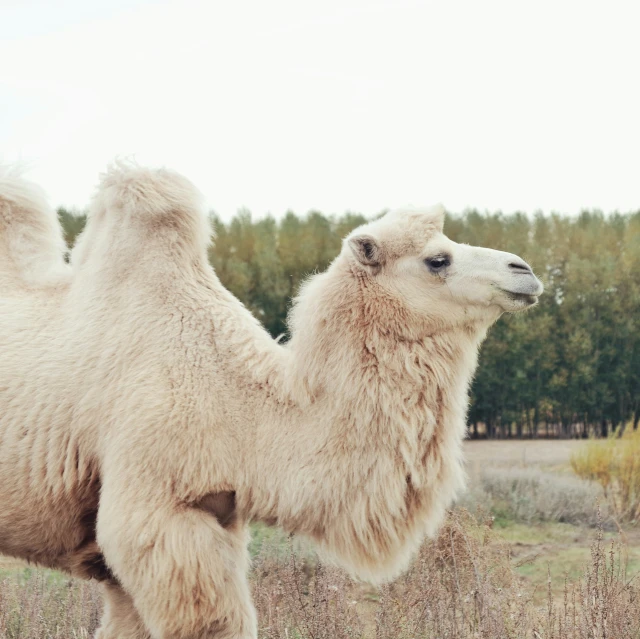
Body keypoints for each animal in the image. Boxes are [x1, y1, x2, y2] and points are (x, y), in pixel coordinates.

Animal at [0, 162, 544, 636]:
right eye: (437, 259)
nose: (525, 271)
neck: (240, 401)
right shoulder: (153, 510)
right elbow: (209, 623)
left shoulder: (210, 517)